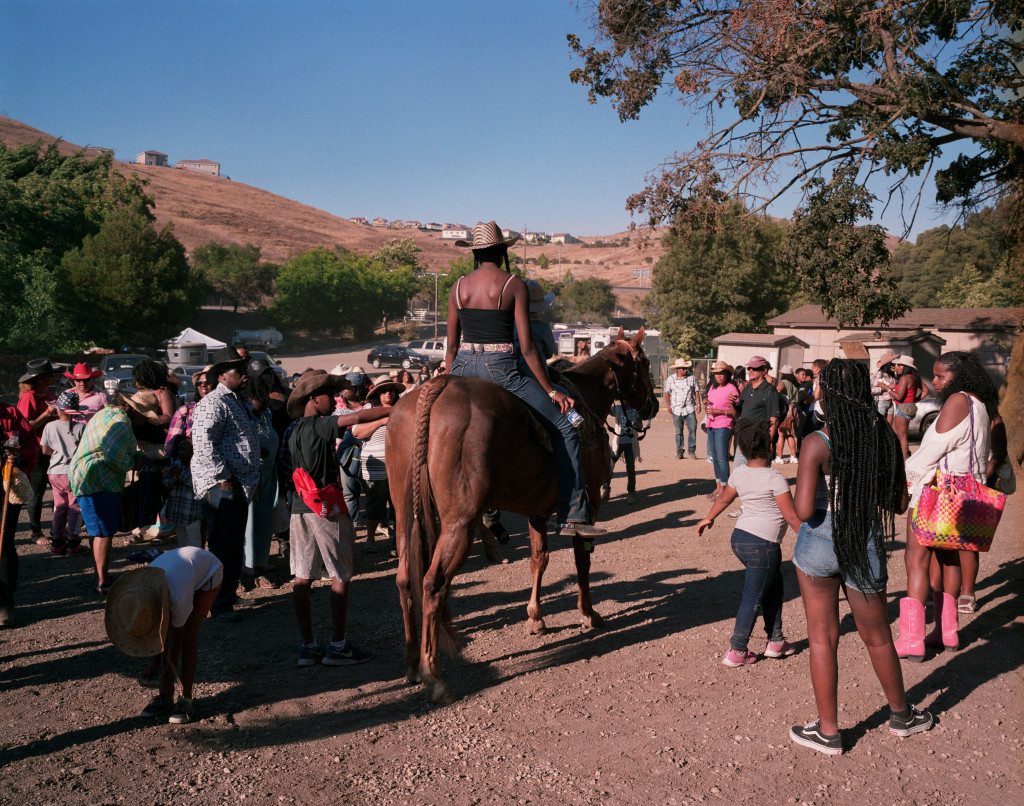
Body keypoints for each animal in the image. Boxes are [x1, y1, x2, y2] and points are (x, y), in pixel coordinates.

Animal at [382, 325, 655, 704]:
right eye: (645, 363)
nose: (653, 405)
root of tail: (435, 389)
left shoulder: (536, 509)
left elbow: (539, 559)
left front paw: (536, 618)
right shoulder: (587, 504)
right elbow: (582, 560)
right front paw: (588, 613)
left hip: (406, 516)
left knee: (406, 578)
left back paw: (411, 663)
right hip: (459, 523)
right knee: (433, 584)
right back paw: (433, 676)